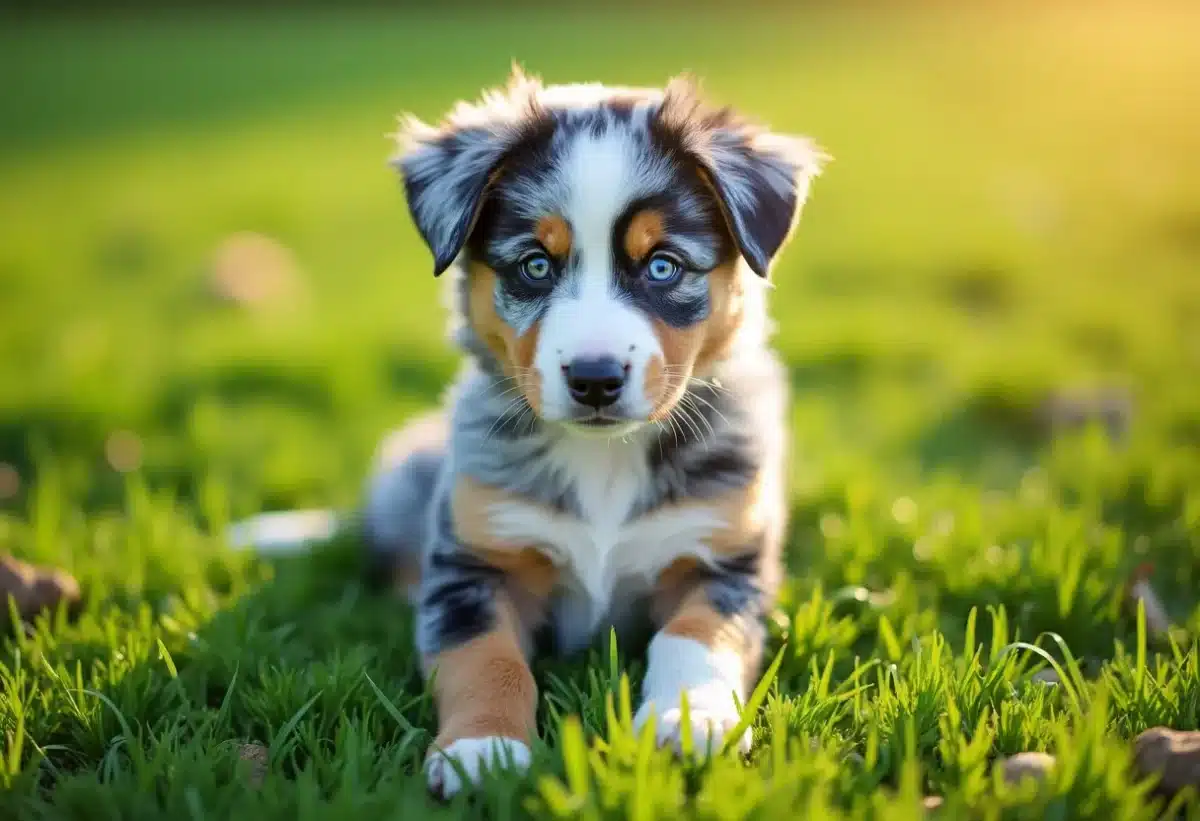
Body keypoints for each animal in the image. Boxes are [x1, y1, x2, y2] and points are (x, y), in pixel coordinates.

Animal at [231, 67, 825, 796]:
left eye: (663, 265)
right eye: (535, 265)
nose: (596, 378)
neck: (604, 461)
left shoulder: (725, 556)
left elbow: (694, 636)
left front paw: (688, 720)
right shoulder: (473, 565)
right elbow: (488, 660)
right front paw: (483, 748)